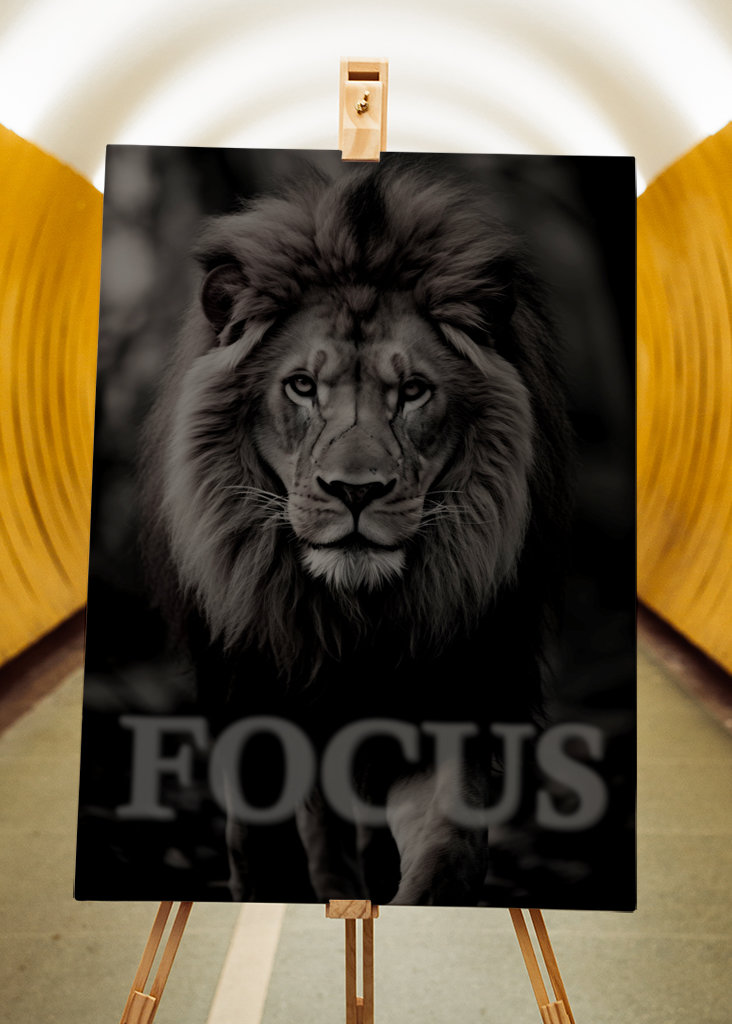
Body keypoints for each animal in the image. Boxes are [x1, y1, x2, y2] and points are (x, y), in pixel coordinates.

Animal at [141, 159, 573, 905]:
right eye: (302, 386)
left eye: (413, 391)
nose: (355, 491)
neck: (351, 620)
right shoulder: (253, 704)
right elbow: (262, 844)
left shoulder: (451, 706)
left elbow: (450, 848)